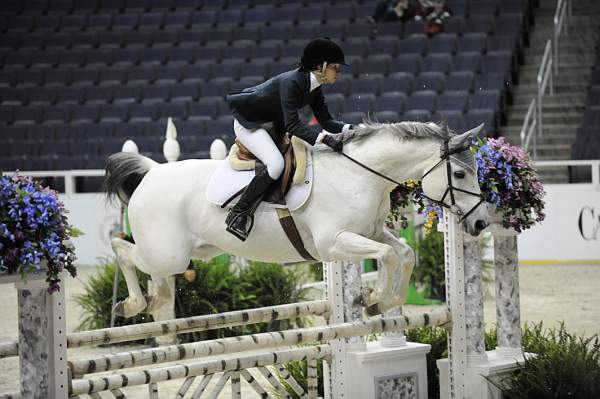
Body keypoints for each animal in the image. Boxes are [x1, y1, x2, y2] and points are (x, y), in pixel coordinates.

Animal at [105, 122, 490, 318]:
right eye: (459, 173)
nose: (481, 224)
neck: (359, 173)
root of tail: (152, 172)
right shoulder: (333, 243)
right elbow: (387, 256)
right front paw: (370, 297)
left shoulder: (371, 231)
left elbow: (404, 254)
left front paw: (378, 301)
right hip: (168, 254)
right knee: (121, 248)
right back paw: (132, 304)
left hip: (193, 253)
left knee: (149, 274)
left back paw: (156, 306)